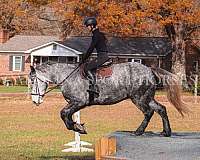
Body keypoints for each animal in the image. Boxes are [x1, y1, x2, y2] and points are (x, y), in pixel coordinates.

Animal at [28, 62, 188, 137]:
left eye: (33, 80)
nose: (35, 101)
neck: (67, 76)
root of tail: (149, 69)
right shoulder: (75, 104)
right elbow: (66, 115)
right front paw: (77, 126)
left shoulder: (79, 102)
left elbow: (63, 114)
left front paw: (78, 128)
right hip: (147, 97)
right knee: (161, 109)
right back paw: (166, 132)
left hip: (139, 98)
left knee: (149, 112)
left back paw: (138, 131)